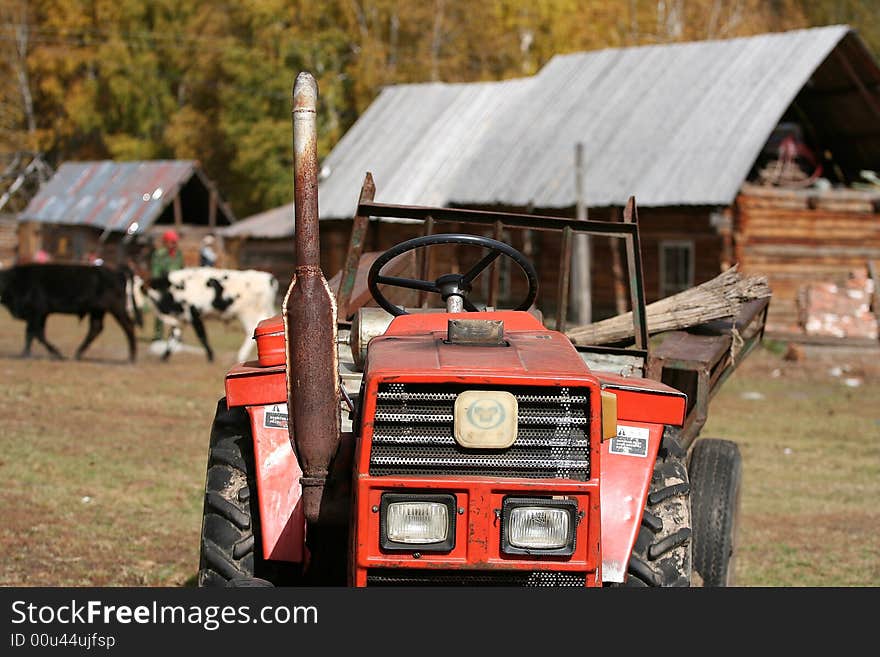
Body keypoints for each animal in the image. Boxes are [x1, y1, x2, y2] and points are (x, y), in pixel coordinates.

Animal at [0, 262, 141, 364]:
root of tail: (117, 272)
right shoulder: (39, 315)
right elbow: (33, 334)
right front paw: (25, 353)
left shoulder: (37, 313)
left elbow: (36, 334)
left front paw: (56, 354)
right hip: (97, 311)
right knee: (95, 329)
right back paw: (78, 354)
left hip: (117, 309)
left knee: (128, 327)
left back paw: (132, 357)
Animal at [144, 266, 278, 362]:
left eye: (155, 291)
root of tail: (269, 278)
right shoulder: (181, 320)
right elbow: (174, 337)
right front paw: (164, 357)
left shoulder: (194, 315)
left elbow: (202, 336)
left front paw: (210, 356)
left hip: (248, 313)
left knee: (251, 331)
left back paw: (240, 355)